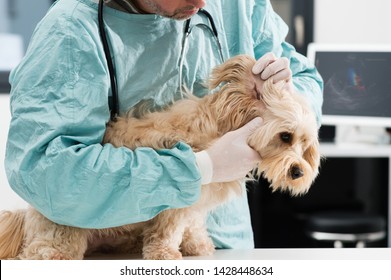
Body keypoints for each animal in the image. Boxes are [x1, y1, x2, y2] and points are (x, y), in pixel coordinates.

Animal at [0, 54, 320, 260]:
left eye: (305, 145)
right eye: (285, 137)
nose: (298, 172)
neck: (218, 133)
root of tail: (28, 216)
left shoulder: (196, 205)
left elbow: (193, 225)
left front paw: (197, 245)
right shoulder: (177, 198)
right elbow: (169, 228)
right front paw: (165, 253)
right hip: (62, 223)